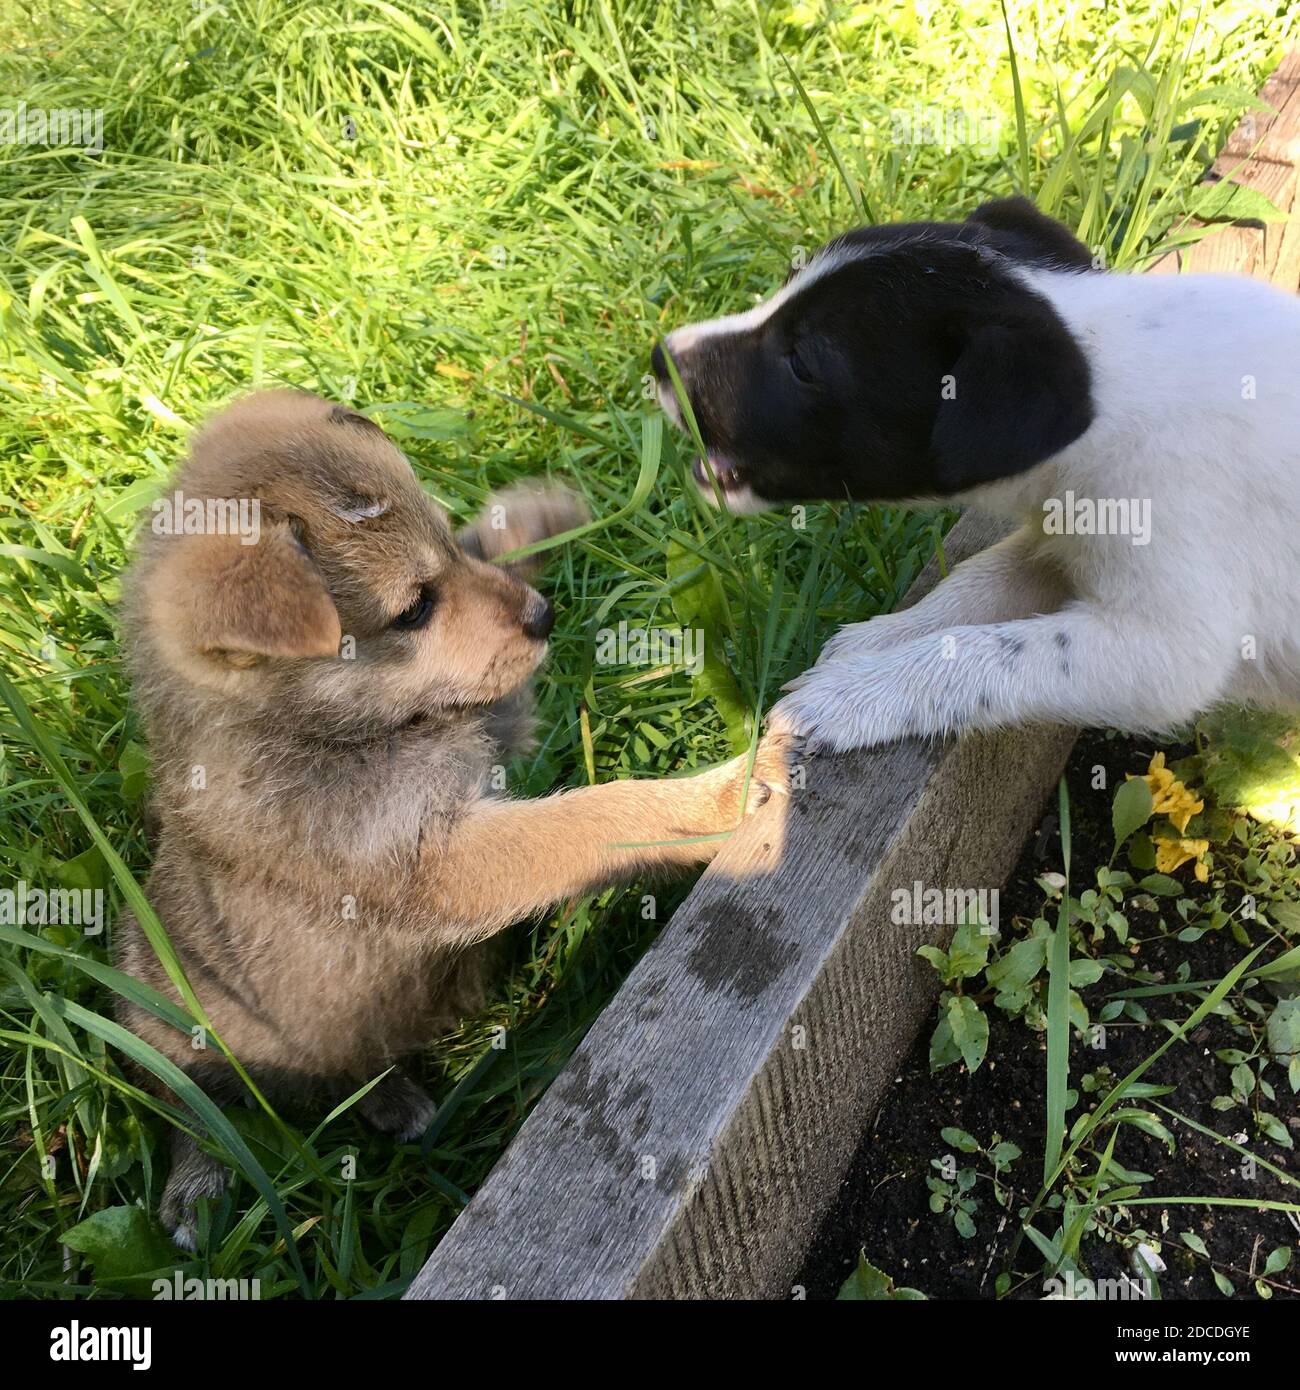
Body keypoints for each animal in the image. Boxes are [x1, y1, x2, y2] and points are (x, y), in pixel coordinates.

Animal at [114, 386, 784, 1245]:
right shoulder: (436, 862)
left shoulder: (491, 726)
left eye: (444, 543)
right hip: (158, 1005)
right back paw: (198, 1186)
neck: (327, 731)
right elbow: (589, 819)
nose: (541, 615)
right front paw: (716, 796)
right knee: (187, 1102)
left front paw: (527, 518)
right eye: (413, 609)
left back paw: (392, 1098)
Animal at [656, 195, 1300, 750]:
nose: (658, 358)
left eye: (801, 363)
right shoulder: (1060, 532)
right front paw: (881, 637)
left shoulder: (1168, 644)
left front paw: (851, 694)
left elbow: (994, 650)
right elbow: (974, 583)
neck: (1110, 375)